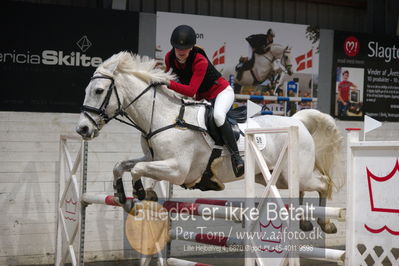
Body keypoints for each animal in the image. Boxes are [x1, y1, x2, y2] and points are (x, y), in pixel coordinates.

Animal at [77, 51, 344, 233]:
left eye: (99, 91)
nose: (82, 129)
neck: (162, 117)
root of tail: (297, 121)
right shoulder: (155, 158)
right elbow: (121, 165)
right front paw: (121, 196)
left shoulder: (178, 169)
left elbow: (137, 170)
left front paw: (143, 193)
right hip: (276, 176)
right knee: (301, 189)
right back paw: (306, 221)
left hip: (296, 172)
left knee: (322, 183)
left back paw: (325, 222)